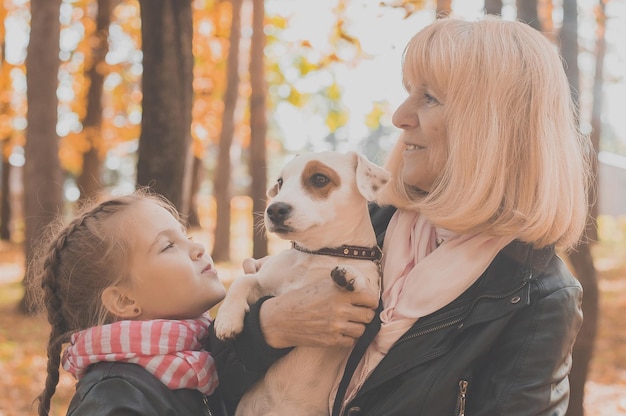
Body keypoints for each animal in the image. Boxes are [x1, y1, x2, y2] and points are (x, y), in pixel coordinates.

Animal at [214, 150, 390, 416]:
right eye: (280, 182)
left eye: (319, 178)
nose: (274, 209)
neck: (318, 253)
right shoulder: (261, 280)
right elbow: (242, 281)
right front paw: (227, 319)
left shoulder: (367, 306)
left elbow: (366, 283)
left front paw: (350, 274)